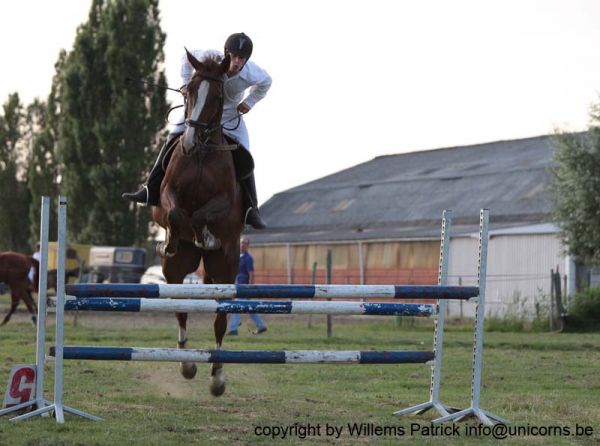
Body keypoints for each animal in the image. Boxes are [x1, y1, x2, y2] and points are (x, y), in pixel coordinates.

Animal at [152, 50, 244, 396]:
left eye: (219, 96)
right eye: (188, 92)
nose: (189, 143)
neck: (203, 155)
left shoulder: (227, 202)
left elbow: (204, 213)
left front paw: (205, 233)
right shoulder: (166, 197)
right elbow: (176, 213)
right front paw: (175, 237)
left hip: (225, 270)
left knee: (220, 319)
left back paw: (217, 376)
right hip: (175, 270)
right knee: (180, 308)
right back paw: (187, 364)